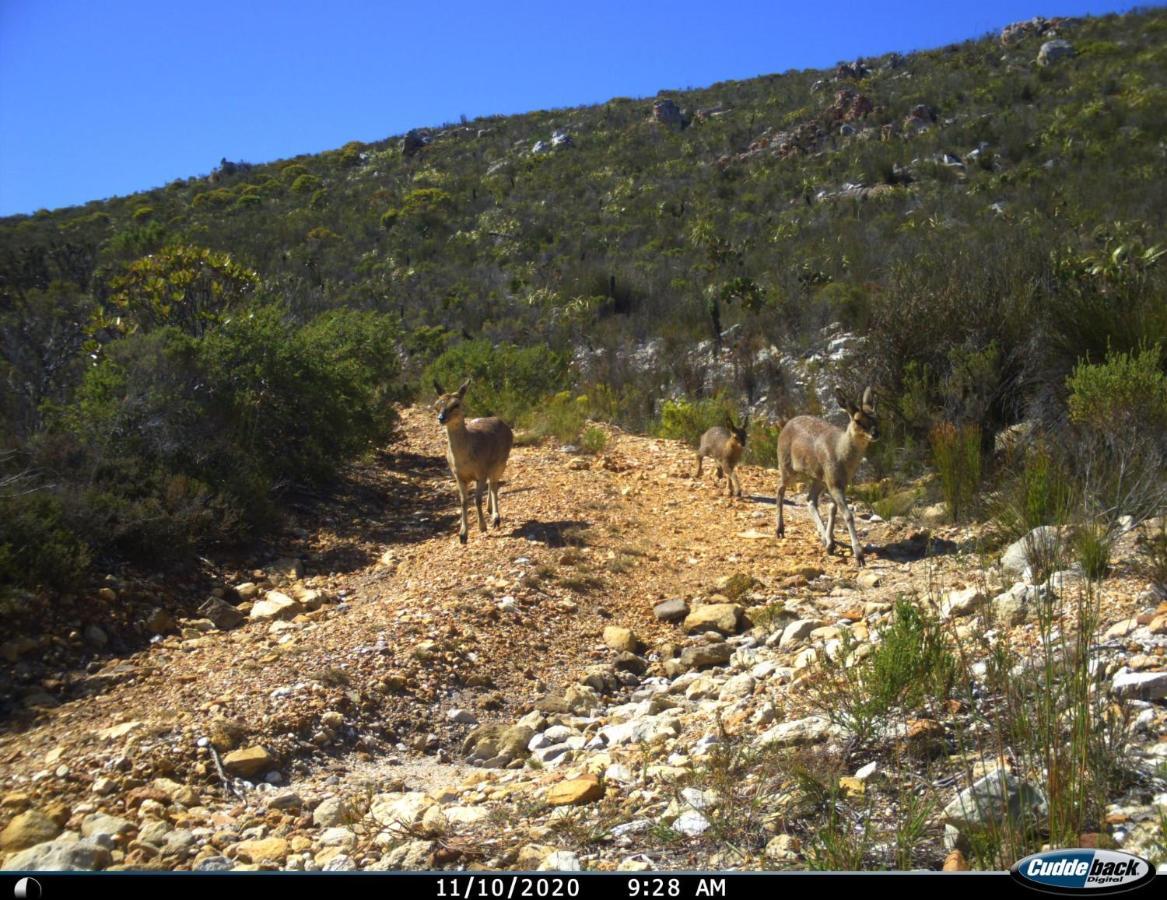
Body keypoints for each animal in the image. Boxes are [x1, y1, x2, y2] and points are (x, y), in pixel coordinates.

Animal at [436, 378, 513, 541]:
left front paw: (482, 527)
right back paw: (490, 510)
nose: (441, 418)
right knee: (492, 484)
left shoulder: (480, 472)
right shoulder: (458, 475)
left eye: (456, 404)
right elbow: (464, 501)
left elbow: (477, 499)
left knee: (495, 485)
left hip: (502, 461)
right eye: (438, 404)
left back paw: (496, 518)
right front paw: (463, 535)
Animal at [774, 385, 877, 567]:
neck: (841, 454)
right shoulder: (833, 482)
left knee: (810, 499)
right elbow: (847, 514)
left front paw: (830, 543)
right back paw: (780, 530)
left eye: (876, 417)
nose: (875, 434)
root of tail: (786, 425)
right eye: (858, 420)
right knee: (780, 489)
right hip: (787, 466)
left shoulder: (839, 482)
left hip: (817, 478)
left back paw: (825, 540)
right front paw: (859, 556)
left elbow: (833, 508)